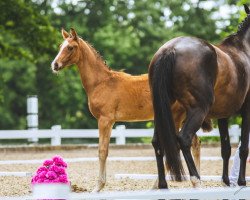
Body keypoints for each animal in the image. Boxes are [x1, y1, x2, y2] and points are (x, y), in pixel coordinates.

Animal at [148, 4, 250, 188]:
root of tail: (170, 49)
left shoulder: (223, 115)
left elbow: (226, 148)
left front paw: (226, 181)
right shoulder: (247, 110)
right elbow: (243, 148)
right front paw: (241, 182)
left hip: (163, 111)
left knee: (157, 142)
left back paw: (163, 185)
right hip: (198, 110)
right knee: (184, 138)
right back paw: (196, 180)